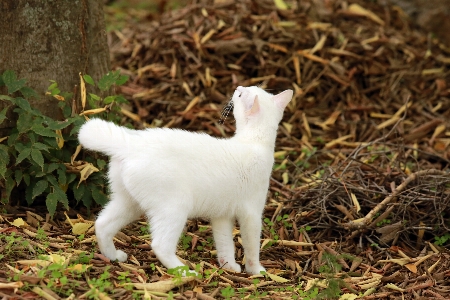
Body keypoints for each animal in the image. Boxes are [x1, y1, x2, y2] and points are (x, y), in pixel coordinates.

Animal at [77, 85, 292, 276]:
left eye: (240, 94)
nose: (237, 87)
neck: (255, 142)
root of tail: (130, 143)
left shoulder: (223, 215)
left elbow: (225, 243)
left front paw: (229, 266)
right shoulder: (251, 214)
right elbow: (251, 245)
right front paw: (256, 270)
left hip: (129, 203)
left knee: (102, 224)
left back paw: (114, 256)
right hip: (174, 208)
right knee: (160, 245)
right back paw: (185, 272)